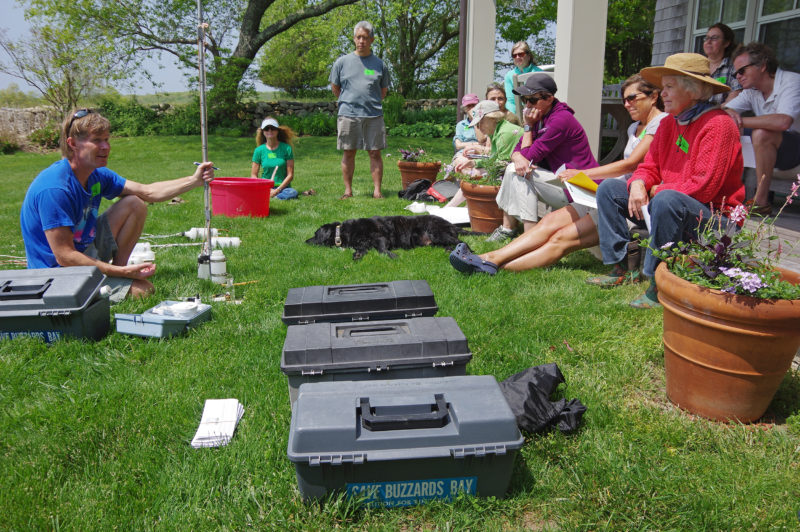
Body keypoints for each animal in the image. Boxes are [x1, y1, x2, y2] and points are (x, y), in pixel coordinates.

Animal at [308, 214, 478, 260]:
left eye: (315, 234)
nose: (305, 241)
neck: (344, 232)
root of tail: (451, 224)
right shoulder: (363, 244)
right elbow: (362, 249)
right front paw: (357, 255)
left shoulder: (380, 238)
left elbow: (382, 250)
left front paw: (393, 255)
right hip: (435, 240)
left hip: (437, 232)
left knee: (462, 241)